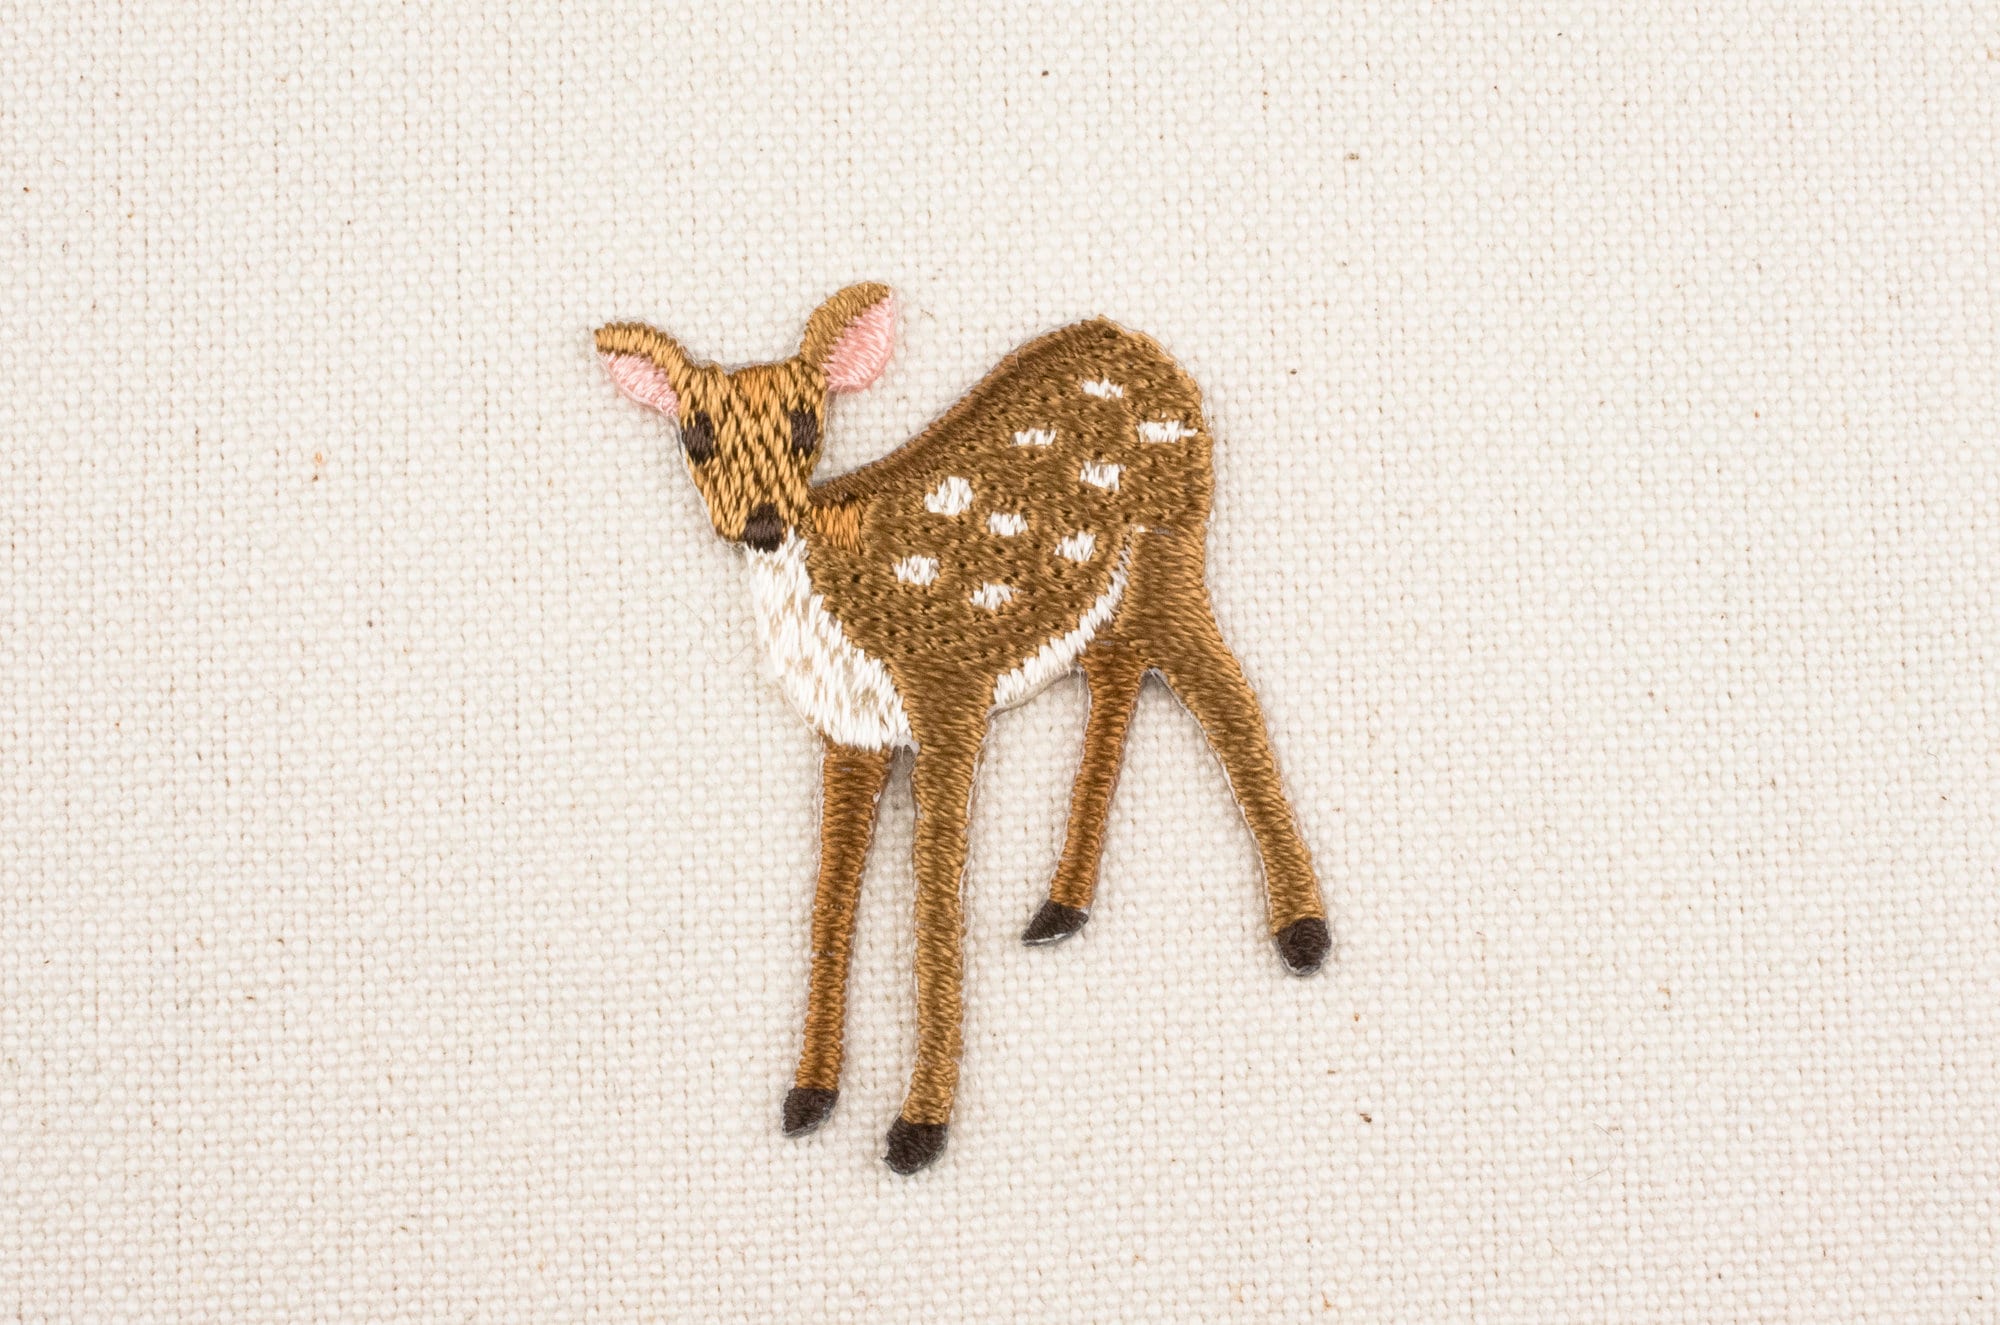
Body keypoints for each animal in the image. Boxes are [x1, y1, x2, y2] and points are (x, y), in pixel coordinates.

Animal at [594, 284, 1331, 1174]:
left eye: (807, 423)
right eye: (694, 434)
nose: (761, 523)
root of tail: (1136, 346)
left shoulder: (948, 690)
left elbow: (935, 897)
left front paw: (918, 1127)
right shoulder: (853, 729)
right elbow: (830, 897)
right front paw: (808, 1096)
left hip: (1169, 547)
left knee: (1228, 694)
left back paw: (1303, 933)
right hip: (1107, 599)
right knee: (1122, 674)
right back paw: (1061, 906)